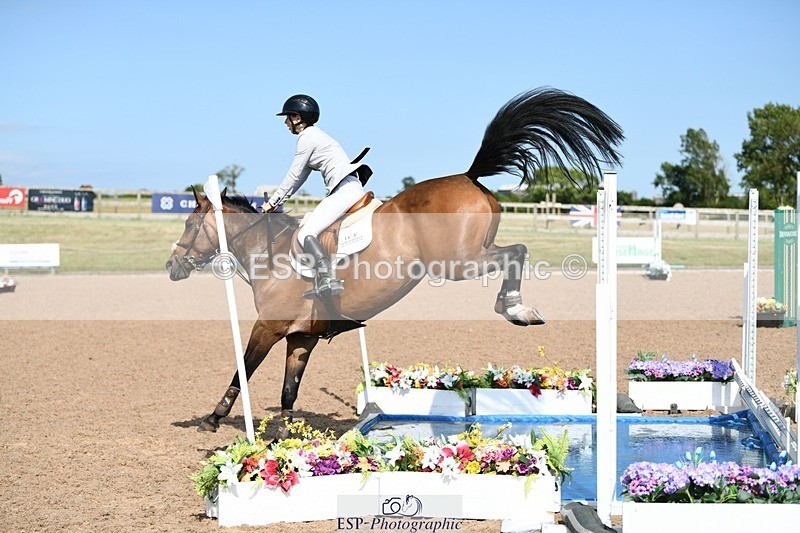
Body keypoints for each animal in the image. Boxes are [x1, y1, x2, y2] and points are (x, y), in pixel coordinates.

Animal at [165, 87, 623, 436]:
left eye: (189, 223)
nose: (173, 267)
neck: (270, 252)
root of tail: (469, 175)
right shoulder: (301, 338)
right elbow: (288, 393)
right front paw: (290, 437)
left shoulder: (270, 328)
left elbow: (242, 370)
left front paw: (214, 417)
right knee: (518, 251)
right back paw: (519, 308)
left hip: (457, 263)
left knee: (517, 252)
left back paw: (513, 307)